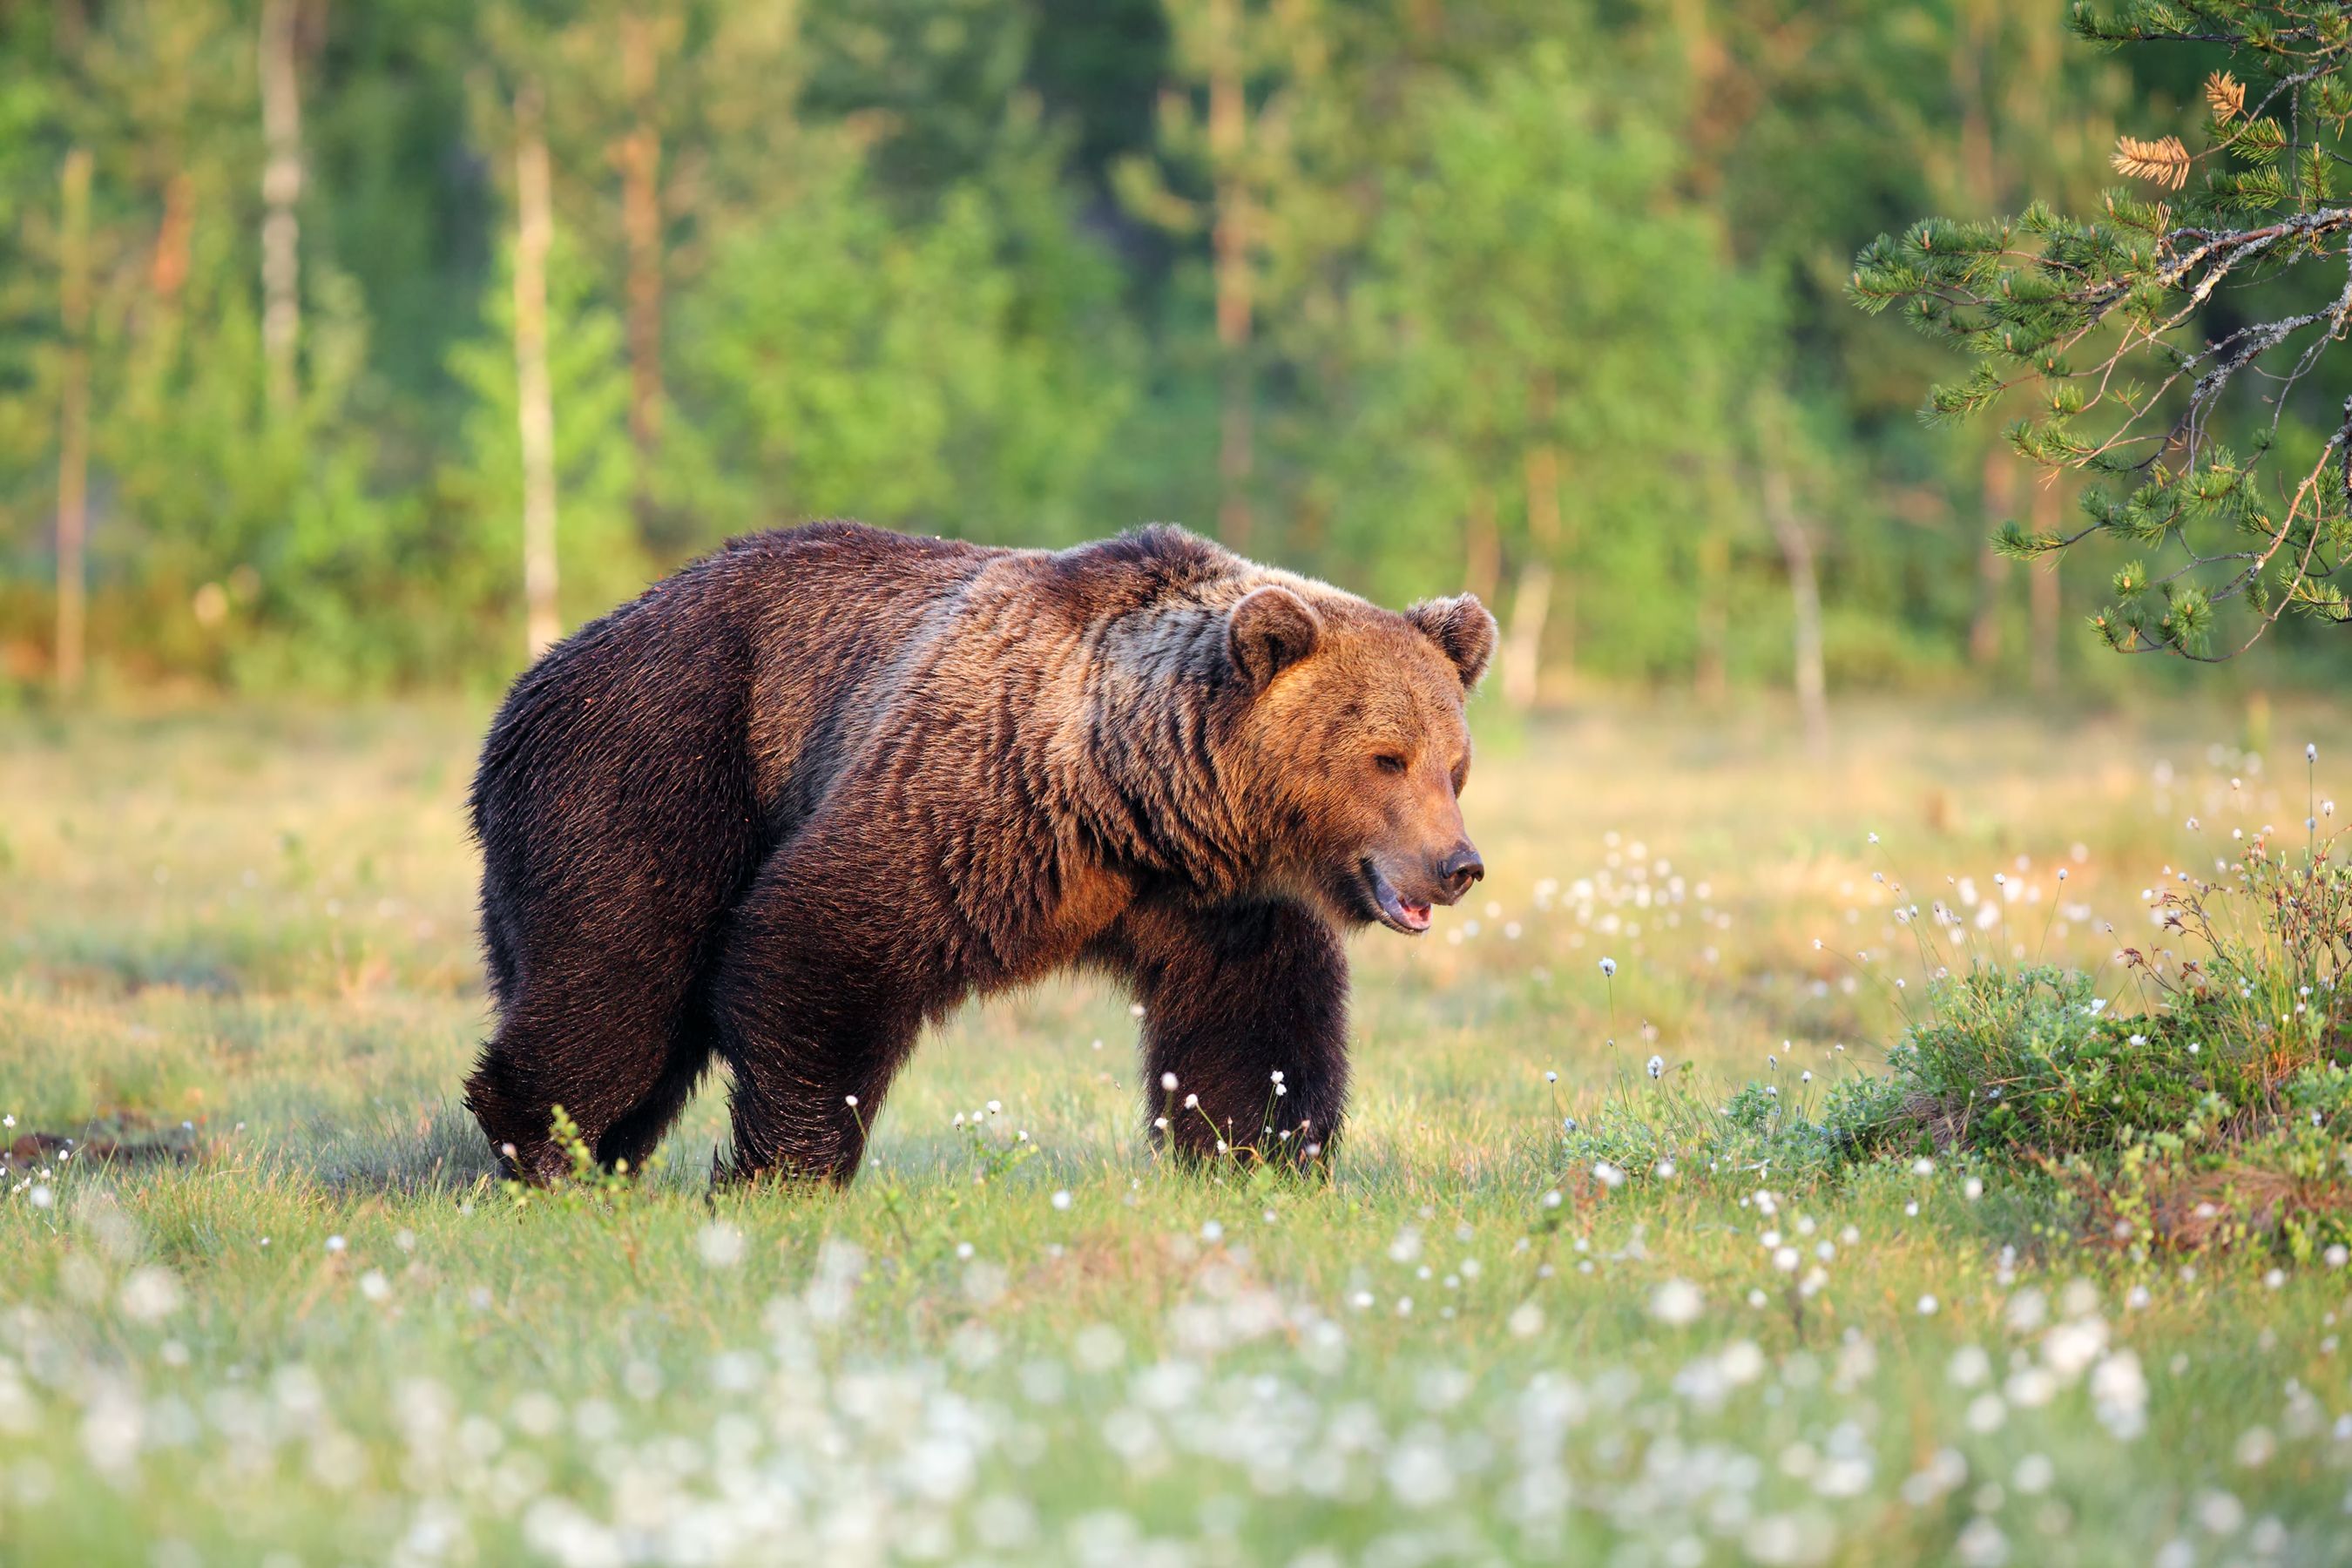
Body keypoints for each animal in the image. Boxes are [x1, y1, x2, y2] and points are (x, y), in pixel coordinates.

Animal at [463, 522, 1486, 1185]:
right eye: (1385, 757)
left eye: (1454, 764)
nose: (1457, 866)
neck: (1130, 795)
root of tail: (538, 674)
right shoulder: (975, 802)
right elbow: (820, 939)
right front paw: (788, 1168)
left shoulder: (1211, 902)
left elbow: (1257, 1023)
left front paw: (1257, 1157)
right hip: (658, 769)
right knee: (621, 975)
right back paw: (539, 1145)